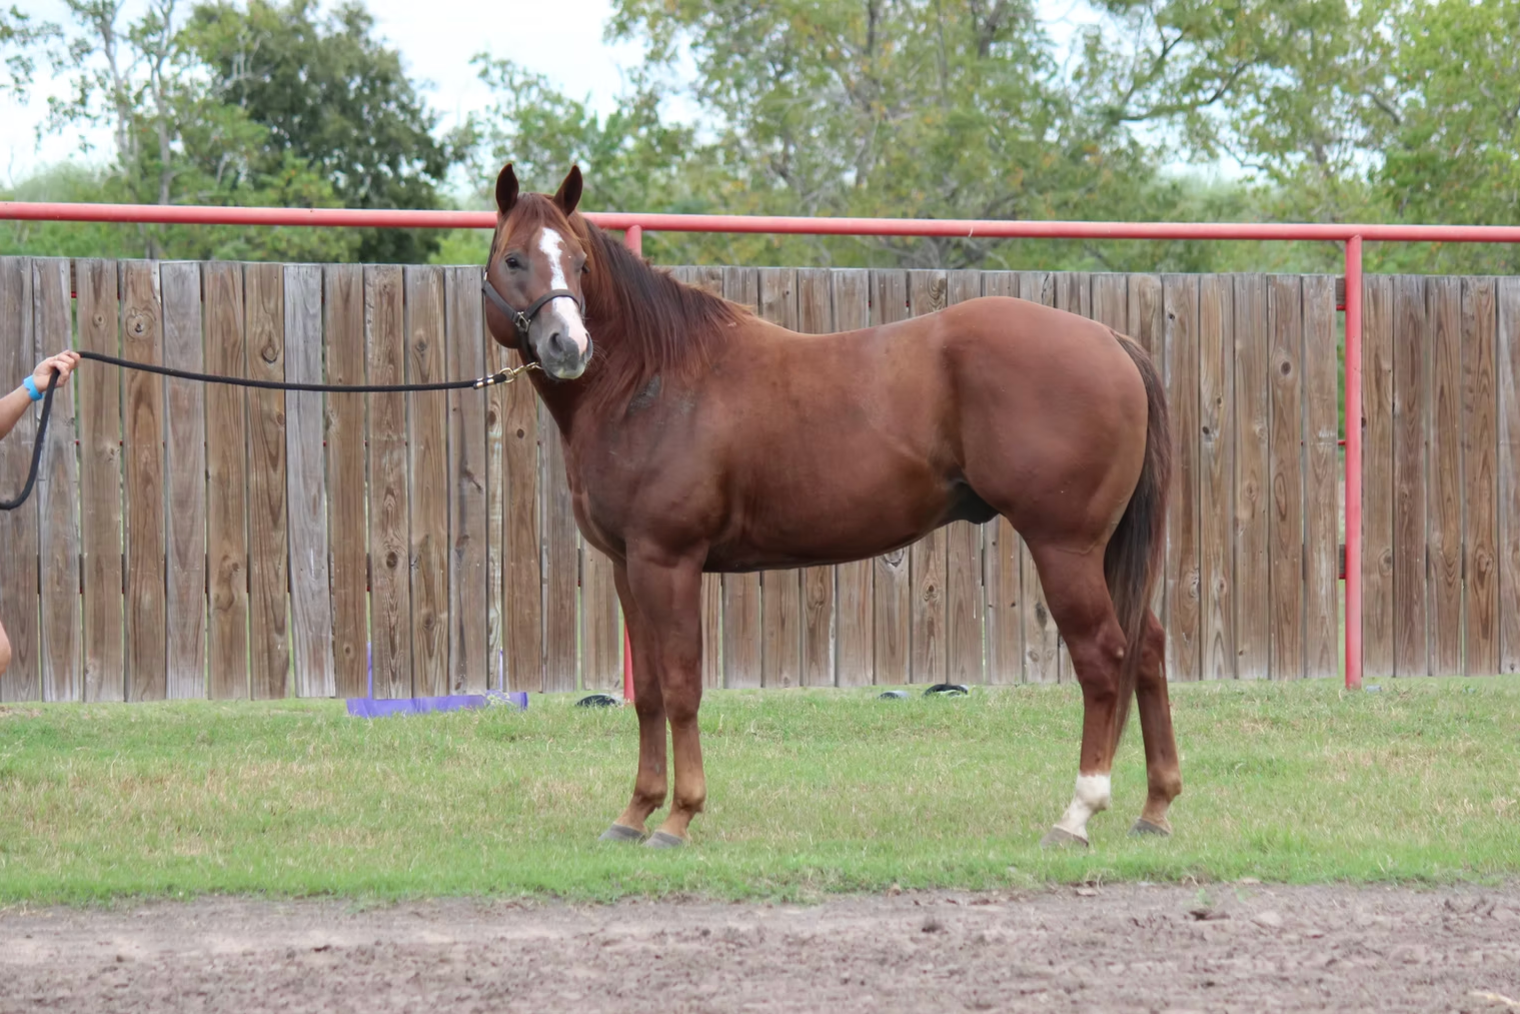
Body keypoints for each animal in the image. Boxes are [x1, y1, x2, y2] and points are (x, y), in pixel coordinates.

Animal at [482, 163, 1180, 849]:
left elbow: (682, 689)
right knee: (1146, 647)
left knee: (1104, 657)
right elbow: (650, 692)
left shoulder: (668, 562)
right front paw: (634, 814)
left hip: (1065, 547)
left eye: (579, 263)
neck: (652, 382)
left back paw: (1077, 815)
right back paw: (1156, 808)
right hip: (1103, 550)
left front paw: (679, 818)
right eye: (514, 259)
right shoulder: (628, 566)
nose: (568, 347)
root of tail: (1109, 339)